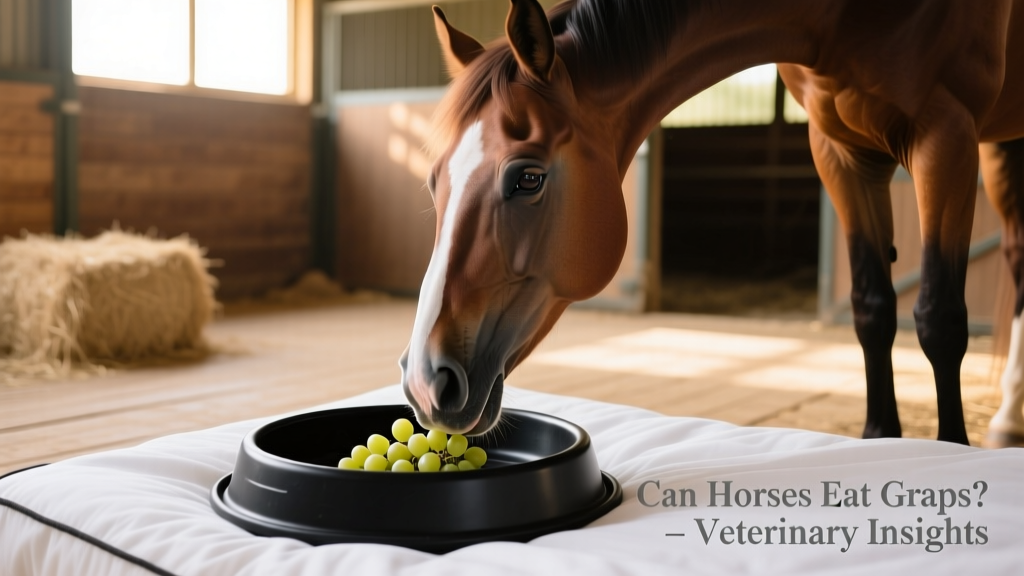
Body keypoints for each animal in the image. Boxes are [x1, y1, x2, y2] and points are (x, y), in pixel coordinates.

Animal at [399, 0, 1024, 446]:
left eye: (528, 178)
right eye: (432, 182)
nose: (426, 382)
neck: (843, 16)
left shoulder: (946, 139)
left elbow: (939, 321)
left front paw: (951, 449)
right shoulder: (838, 152)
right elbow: (872, 311)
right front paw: (880, 439)